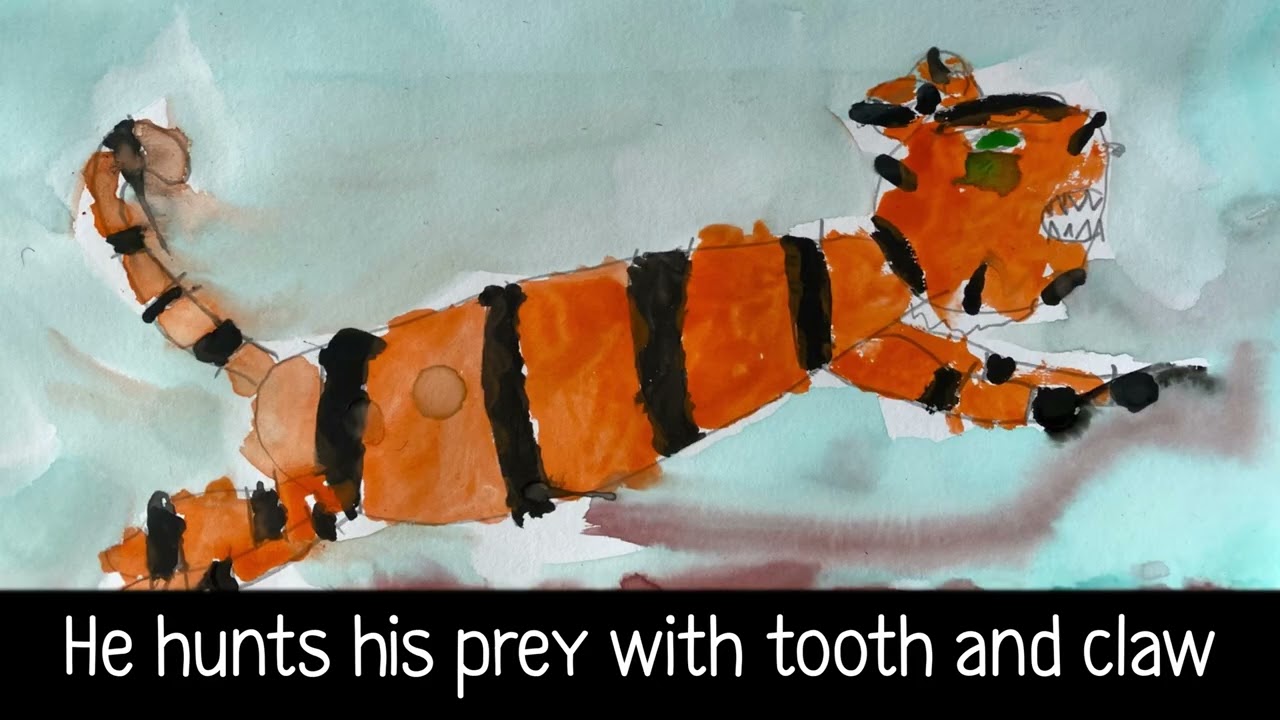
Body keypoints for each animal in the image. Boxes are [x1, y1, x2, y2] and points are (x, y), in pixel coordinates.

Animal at [80, 47, 1202, 591]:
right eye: (1000, 147)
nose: (1097, 123)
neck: (881, 253)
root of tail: (283, 379)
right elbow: (999, 389)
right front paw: (1134, 381)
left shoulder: (886, 342)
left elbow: (984, 381)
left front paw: (1126, 378)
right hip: (321, 493)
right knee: (208, 534)